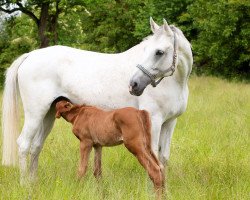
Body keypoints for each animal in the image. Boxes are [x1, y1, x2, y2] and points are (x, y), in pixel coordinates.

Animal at [1, 18, 192, 184]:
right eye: (146, 50)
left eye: (159, 52)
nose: (134, 84)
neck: (174, 82)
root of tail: (30, 56)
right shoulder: (154, 120)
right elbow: (152, 156)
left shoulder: (170, 123)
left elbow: (163, 157)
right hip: (35, 113)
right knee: (24, 144)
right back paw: (25, 184)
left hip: (48, 114)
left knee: (36, 146)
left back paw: (33, 182)